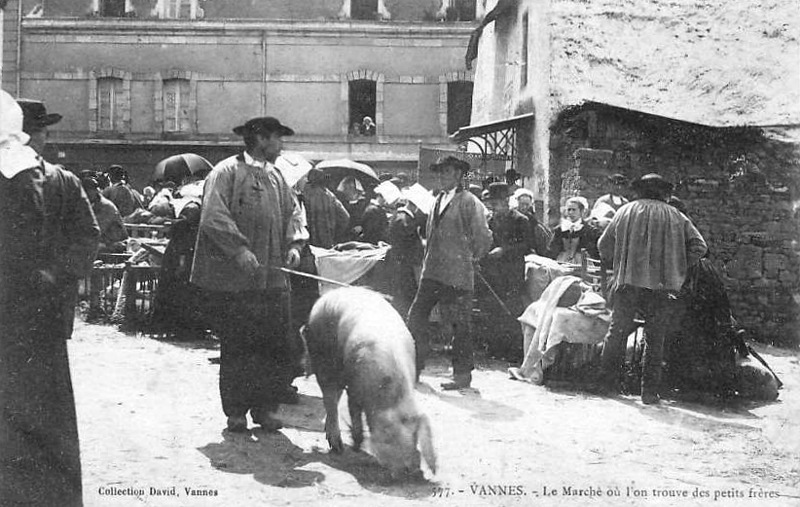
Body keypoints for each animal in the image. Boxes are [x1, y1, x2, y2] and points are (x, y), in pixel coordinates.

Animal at [302, 288, 438, 478]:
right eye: (389, 438)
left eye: (414, 438)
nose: (411, 472)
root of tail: (328, 294)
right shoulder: (354, 388)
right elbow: (354, 414)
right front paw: (357, 445)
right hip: (322, 359)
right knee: (329, 398)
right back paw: (337, 447)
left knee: (334, 399)